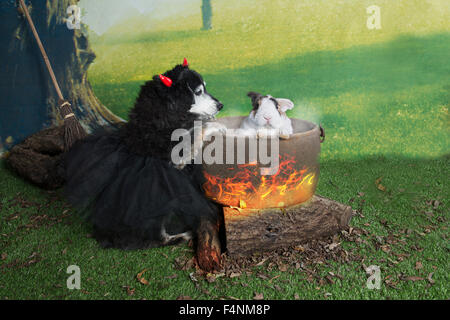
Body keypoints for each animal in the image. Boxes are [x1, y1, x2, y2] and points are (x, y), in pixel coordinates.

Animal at [63, 60, 225, 270]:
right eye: (198, 91)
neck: (167, 110)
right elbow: (199, 129)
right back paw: (182, 235)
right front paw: (215, 124)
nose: (221, 105)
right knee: (158, 239)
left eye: (205, 88)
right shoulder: (174, 157)